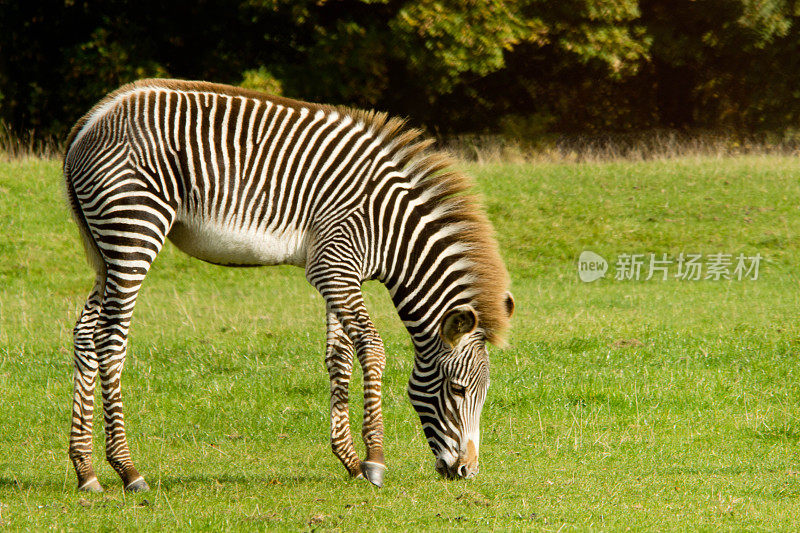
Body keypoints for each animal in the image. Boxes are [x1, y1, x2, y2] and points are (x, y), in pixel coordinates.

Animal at [62, 79, 512, 490]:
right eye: (458, 390)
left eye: (484, 392)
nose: (467, 472)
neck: (391, 227)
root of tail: (92, 118)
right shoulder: (335, 265)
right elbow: (372, 349)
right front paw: (374, 461)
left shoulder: (339, 271)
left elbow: (338, 359)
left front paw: (350, 462)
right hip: (133, 230)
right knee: (111, 339)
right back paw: (128, 470)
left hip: (105, 249)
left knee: (85, 332)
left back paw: (86, 471)